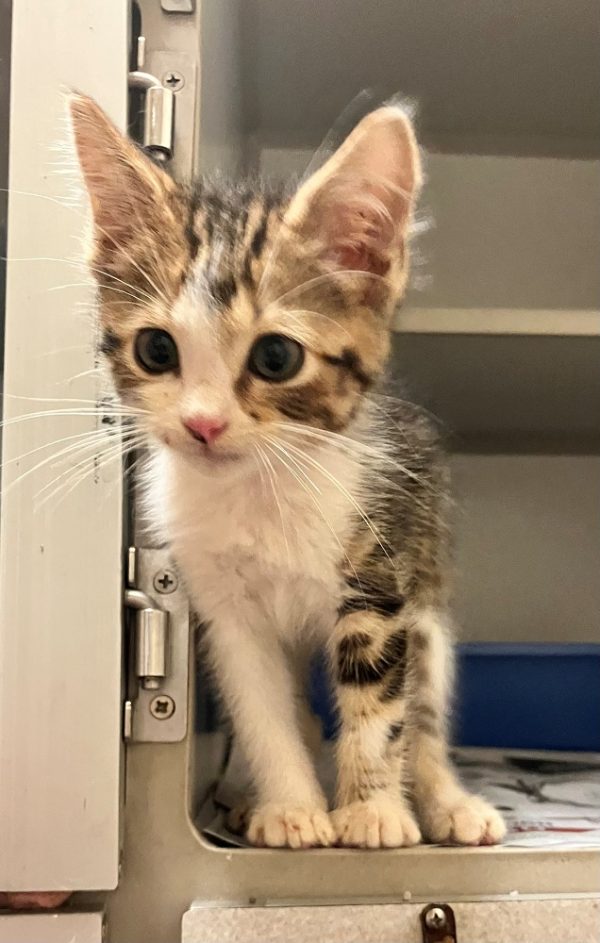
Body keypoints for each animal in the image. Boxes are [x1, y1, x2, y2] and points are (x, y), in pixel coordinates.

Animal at [70, 94, 505, 849]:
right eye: (156, 349)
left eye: (276, 358)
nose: (203, 424)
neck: (260, 488)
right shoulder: (227, 609)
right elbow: (264, 709)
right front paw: (292, 808)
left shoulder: (380, 580)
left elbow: (381, 706)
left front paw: (372, 809)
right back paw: (245, 793)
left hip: (426, 593)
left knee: (425, 708)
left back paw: (447, 800)